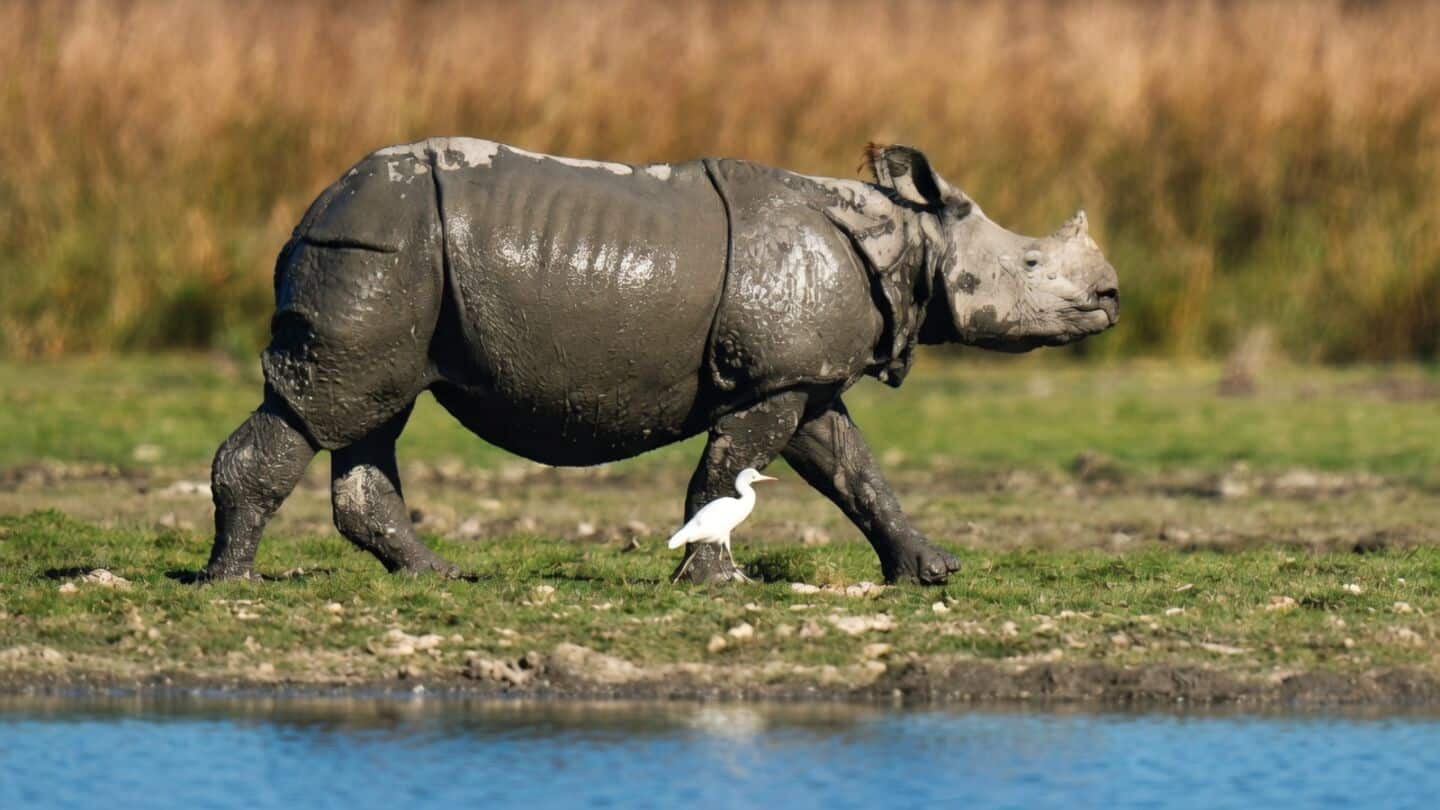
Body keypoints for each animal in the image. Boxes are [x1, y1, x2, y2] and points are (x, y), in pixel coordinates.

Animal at [203, 138, 1118, 585]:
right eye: (1032, 265)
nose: (1111, 295)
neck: (909, 236)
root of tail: (313, 206)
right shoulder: (772, 381)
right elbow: (724, 475)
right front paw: (717, 580)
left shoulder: (804, 375)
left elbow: (855, 471)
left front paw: (931, 573)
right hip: (380, 247)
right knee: (321, 408)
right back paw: (232, 585)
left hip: (391, 258)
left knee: (370, 413)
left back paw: (437, 577)